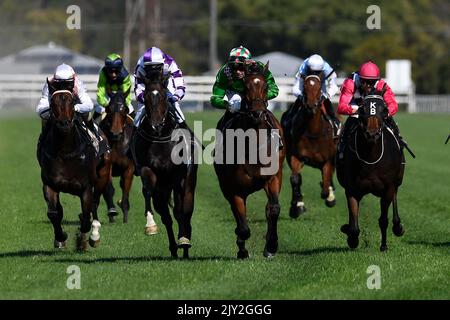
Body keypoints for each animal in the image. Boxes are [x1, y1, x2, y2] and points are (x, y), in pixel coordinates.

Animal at [37, 87, 113, 250]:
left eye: (71, 102)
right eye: (52, 102)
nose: (64, 123)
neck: (66, 152)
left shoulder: (86, 187)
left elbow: (86, 216)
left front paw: (84, 239)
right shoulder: (50, 184)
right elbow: (54, 213)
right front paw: (60, 237)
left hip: (103, 174)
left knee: (95, 204)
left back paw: (94, 235)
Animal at [101, 88, 136, 222]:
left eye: (124, 109)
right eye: (108, 109)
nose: (115, 133)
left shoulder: (129, 168)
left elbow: (125, 192)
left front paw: (125, 220)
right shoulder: (107, 165)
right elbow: (109, 189)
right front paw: (111, 213)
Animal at [214, 61, 284, 258]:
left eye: (266, 86)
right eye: (245, 87)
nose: (257, 114)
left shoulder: (273, 178)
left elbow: (273, 209)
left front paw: (271, 246)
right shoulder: (234, 188)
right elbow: (242, 224)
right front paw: (242, 247)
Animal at [282, 74, 338, 218]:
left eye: (318, 88)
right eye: (305, 88)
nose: (311, 105)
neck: (313, 132)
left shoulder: (328, 160)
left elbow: (326, 184)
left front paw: (329, 196)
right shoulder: (295, 156)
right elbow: (295, 179)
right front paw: (296, 206)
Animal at [336, 95, 406, 252]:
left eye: (384, 110)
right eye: (362, 109)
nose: (372, 133)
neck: (371, 158)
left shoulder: (388, 188)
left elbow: (383, 219)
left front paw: (384, 246)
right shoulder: (352, 189)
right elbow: (354, 224)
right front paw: (351, 237)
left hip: (397, 181)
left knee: (395, 196)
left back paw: (398, 227)